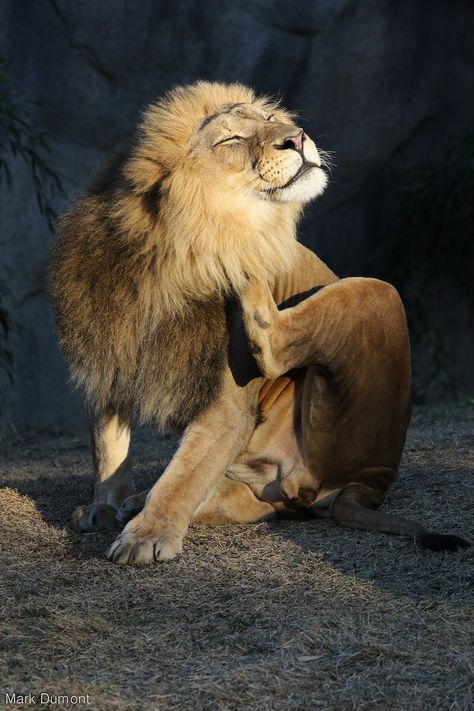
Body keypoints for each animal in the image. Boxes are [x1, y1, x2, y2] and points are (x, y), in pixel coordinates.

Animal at [49, 82, 470, 560]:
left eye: (270, 120)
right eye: (231, 139)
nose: (298, 137)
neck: (165, 260)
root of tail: (371, 479)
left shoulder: (226, 399)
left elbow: (182, 476)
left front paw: (148, 534)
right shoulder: (107, 351)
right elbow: (109, 444)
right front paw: (106, 505)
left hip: (380, 292)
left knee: (274, 339)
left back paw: (249, 258)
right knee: (250, 502)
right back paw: (138, 502)